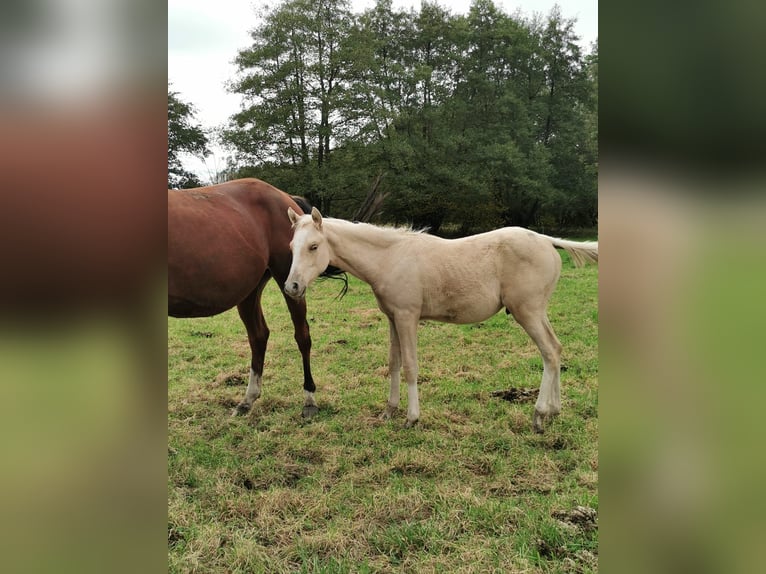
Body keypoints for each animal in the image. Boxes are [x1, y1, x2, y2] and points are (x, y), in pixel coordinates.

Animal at [168, 179, 320, 418]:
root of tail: (285, 196)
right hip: (250, 292)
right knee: (258, 336)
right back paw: (248, 399)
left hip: (291, 283)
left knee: (302, 335)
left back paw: (309, 399)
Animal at [284, 208, 600, 432]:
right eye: (290, 247)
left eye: (314, 246)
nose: (292, 287)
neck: (389, 258)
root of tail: (547, 240)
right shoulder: (393, 318)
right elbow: (394, 363)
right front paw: (389, 411)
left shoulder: (408, 317)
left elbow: (410, 366)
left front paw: (412, 418)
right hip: (538, 312)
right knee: (556, 349)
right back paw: (555, 411)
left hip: (528, 312)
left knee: (548, 352)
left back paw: (539, 415)